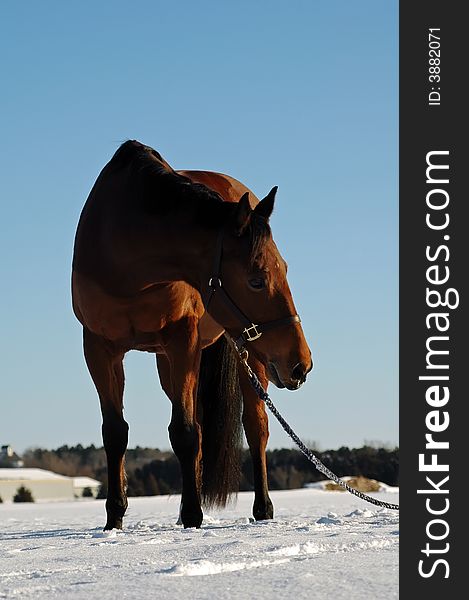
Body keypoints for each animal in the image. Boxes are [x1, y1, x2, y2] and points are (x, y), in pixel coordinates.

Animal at [72, 141, 310, 528]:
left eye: (285, 269)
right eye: (256, 279)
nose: (301, 363)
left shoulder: (182, 340)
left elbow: (184, 433)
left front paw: (194, 516)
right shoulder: (98, 347)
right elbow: (116, 432)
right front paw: (114, 519)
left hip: (250, 358)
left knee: (256, 426)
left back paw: (262, 509)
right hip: (169, 363)